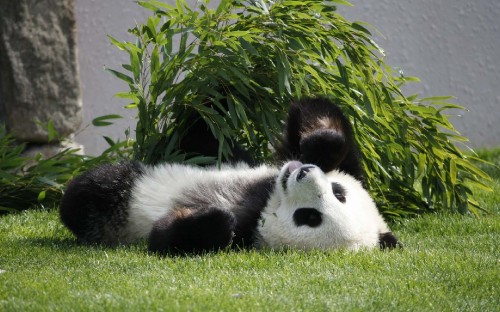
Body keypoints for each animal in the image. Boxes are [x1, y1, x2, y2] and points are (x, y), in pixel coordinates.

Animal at [59, 98, 402, 256]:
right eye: (338, 190)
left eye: (310, 218)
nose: (303, 172)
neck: (267, 201)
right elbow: (324, 117)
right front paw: (322, 145)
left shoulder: (248, 236)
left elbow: (167, 239)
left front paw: (213, 217)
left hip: (121, 205)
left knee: (97, 191)